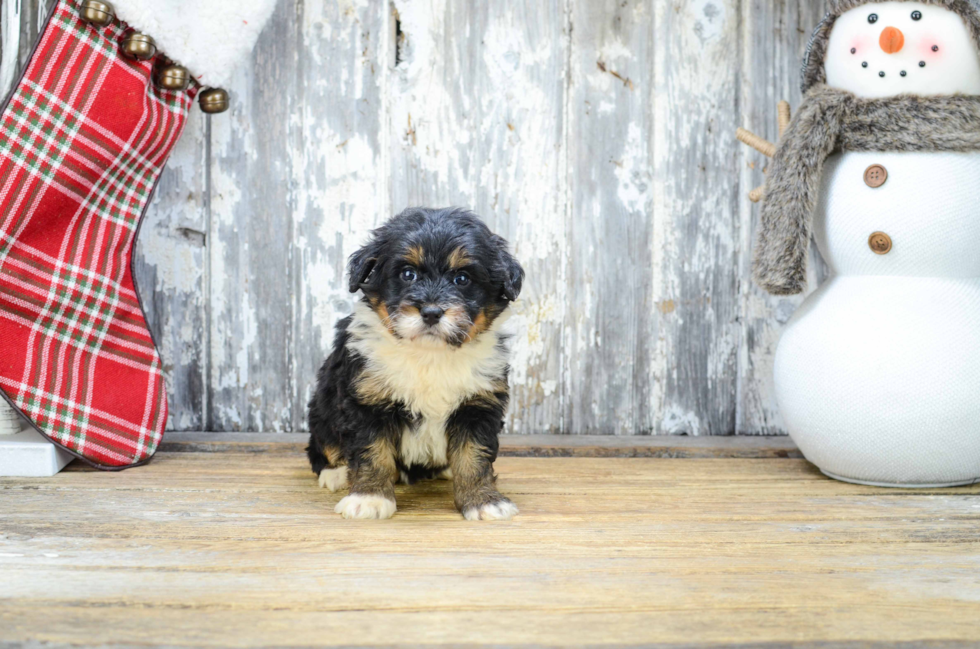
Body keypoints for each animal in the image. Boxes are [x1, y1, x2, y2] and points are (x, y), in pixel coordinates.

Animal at [308, 208, 524, 520]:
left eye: (462, 279)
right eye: (407, 274)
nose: (432, 312)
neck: (429, 354)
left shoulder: (478, 404)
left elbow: (474, 456)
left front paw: (484, 501)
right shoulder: (366, 401)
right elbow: (372, 452)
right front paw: (369, 497)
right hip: (321, 408)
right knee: (321, 445)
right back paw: (335, 473)